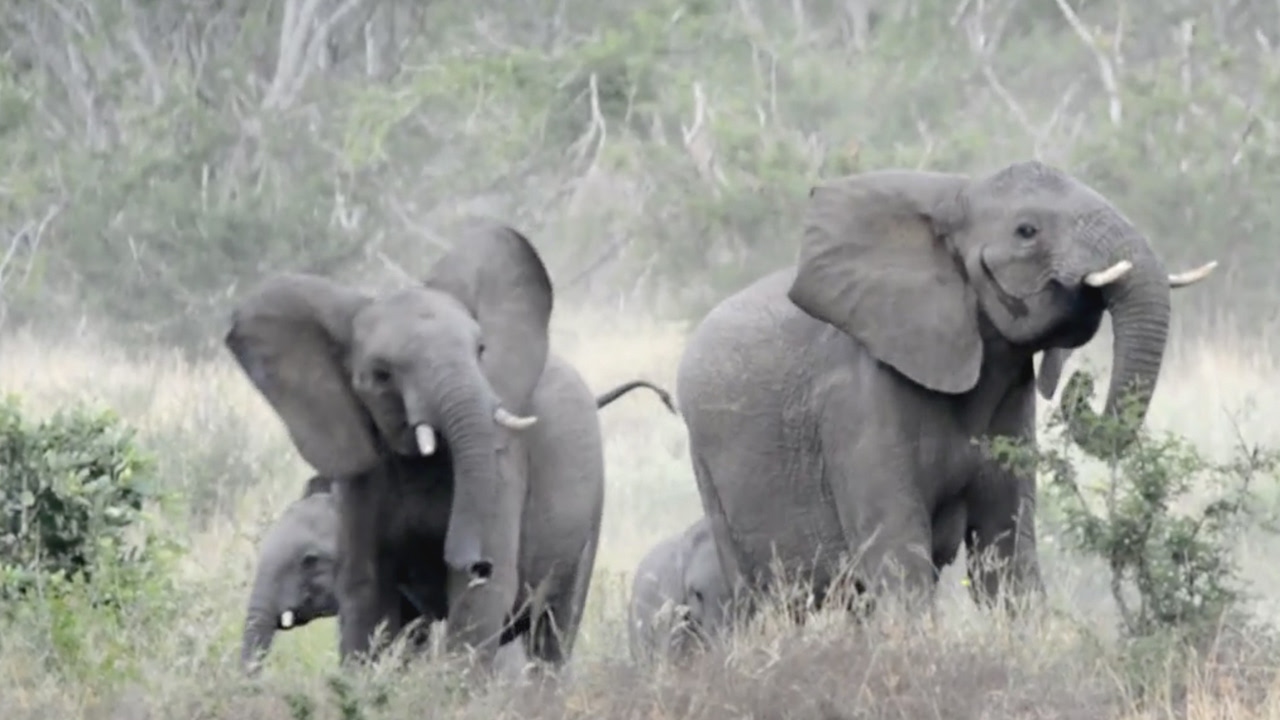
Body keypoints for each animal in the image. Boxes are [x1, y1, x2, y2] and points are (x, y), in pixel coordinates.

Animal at [674, 161, 1217, 619]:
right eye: (1027, 231)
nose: (1079, 385)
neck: (955, 195)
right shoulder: (857, 399)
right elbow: (897, 555)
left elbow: (1007, 553)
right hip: (708, 470)